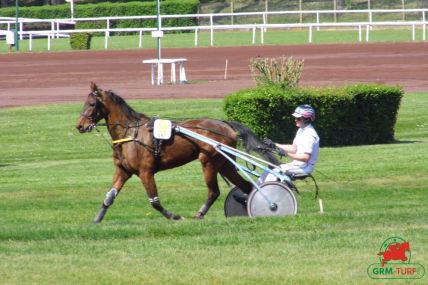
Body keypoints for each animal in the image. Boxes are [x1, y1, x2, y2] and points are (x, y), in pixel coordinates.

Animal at [76, 82, 278, 222]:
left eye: (92, 103)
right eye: (85, 102)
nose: (80, 126)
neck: (130, 133)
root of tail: (225, 124)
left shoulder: (145, 171)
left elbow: (154, 201)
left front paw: (174, 216)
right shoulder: (123, 171)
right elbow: (109, 197)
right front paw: (96, 219)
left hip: (209, 161)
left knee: (214, 191)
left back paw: (200, 214)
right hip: (224, 163)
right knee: (246, 186)